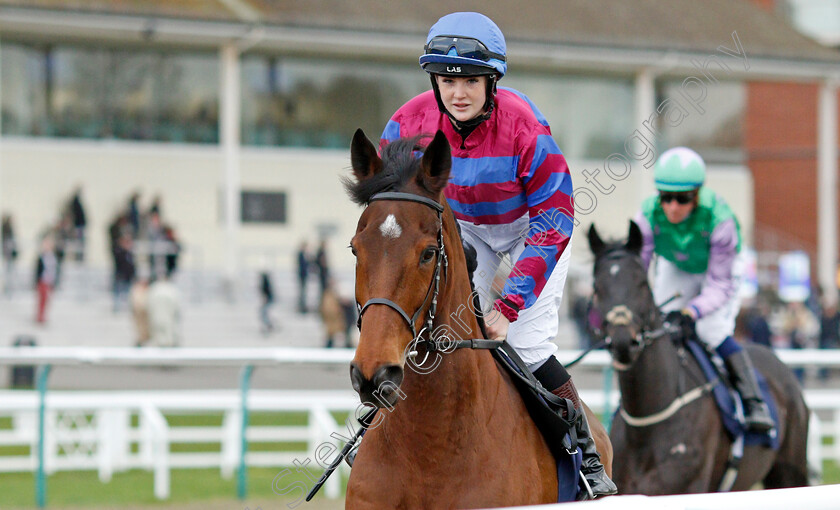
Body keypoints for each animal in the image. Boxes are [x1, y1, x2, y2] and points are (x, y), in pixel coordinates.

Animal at [584, 222, 808, 494]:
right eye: (596, 287)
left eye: (642, 284)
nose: (623, 341)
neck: (647, 426)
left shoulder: (689, 486)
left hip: (789, 471)